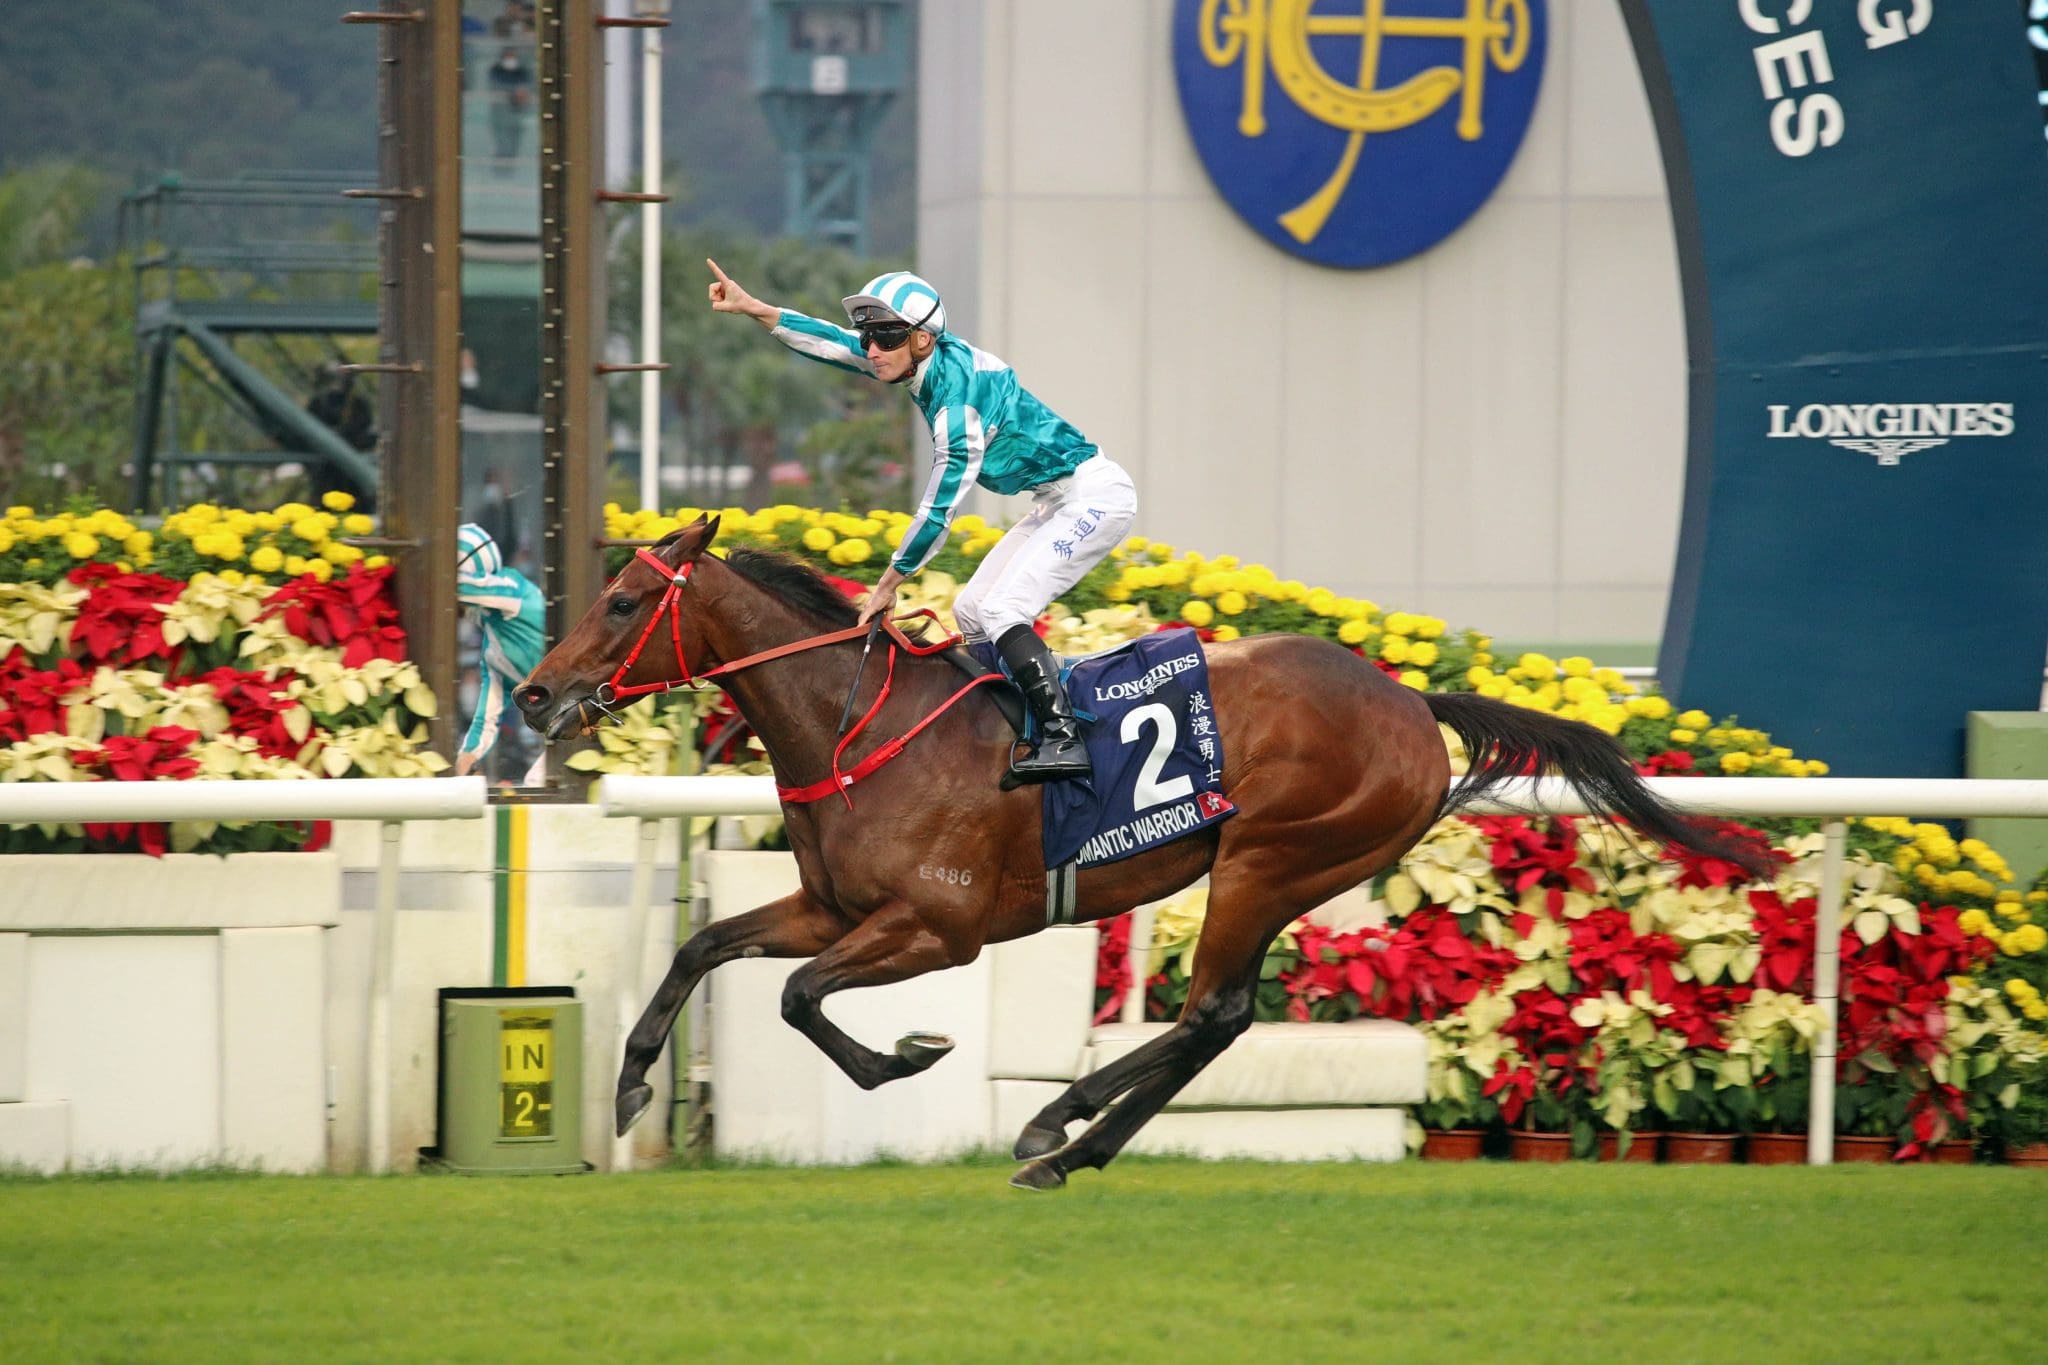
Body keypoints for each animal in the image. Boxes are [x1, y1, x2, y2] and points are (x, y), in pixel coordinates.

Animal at [516, 517, 1777, 1186]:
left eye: (622, 602)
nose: (533, 693)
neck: (856, 726)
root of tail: (1410, 699)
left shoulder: (936, 927)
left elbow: (799, 1002)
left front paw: (909, 1057)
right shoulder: (830, 908)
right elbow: (705, 949)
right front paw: (628, 1083)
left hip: (1268, 859)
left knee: (1211, 1011)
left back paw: (1052, 1129)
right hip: (1285, 870)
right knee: (1215, 1021)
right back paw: (1064, 1143)